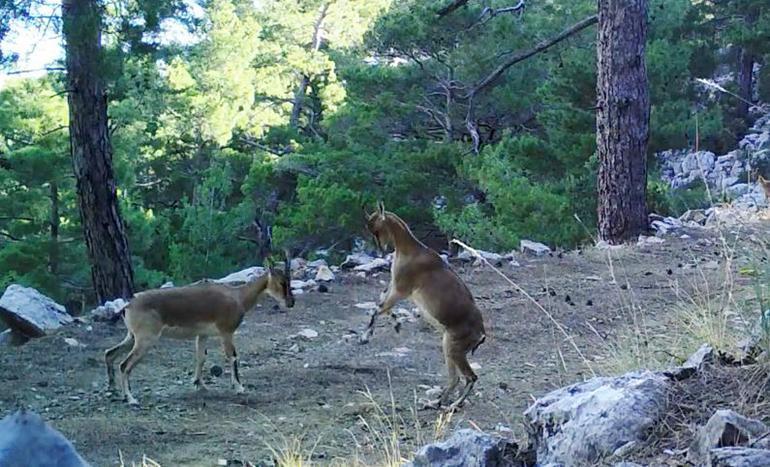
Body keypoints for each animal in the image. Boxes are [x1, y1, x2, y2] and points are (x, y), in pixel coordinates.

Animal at [105, 257, 294, 406]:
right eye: (281, 282)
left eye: (289, 281)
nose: (291, 302)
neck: (237, 297)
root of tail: (128, 306)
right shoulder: (226, 333)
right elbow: (232, 356)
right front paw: (239, 387)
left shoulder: (202, 335)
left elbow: (201, 357)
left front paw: (199, 384)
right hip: (145, 340)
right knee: (124, 365)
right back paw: (130, 399)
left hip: (131, 337)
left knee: (109, 354)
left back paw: (113, 389)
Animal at [359, 202, 486, 411]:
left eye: (377, 229)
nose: (380, 251)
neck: (410, 250)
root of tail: (481, 334)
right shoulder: (395, 286)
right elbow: (381, 304)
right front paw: (396, 324)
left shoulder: (401, 289)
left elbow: (378, 309)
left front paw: (364, 337)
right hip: (450, 348)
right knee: (455, 379)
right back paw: (435, 402)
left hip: (453, 348)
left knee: (469, 377)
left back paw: (451, 405)